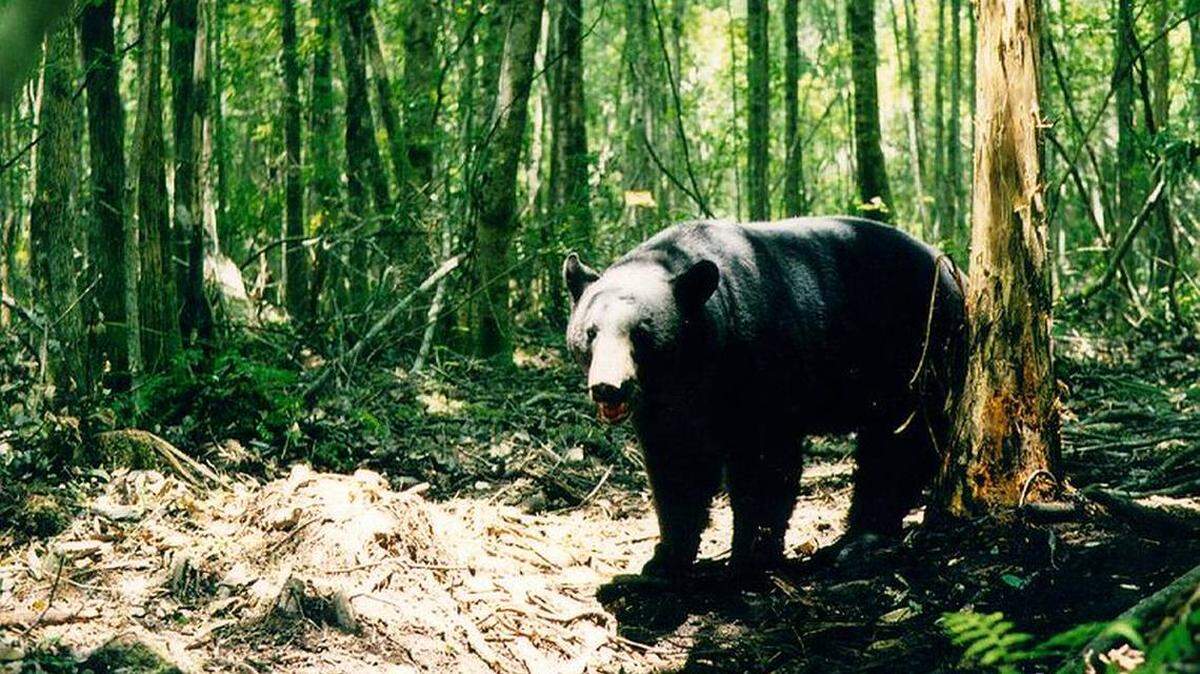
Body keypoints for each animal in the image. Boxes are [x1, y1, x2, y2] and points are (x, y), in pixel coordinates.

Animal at [563, 216, 966, 577]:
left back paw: (858, 540)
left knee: (899, 446)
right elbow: (677, 467)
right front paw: (666, 559)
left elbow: (763, 464)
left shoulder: (760, 369)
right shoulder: (666, 406)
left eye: (641, 332)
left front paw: (750, 558)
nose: (608, 386)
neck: (693, 367)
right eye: (591, 332)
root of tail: (953, 273)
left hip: (918, 353)